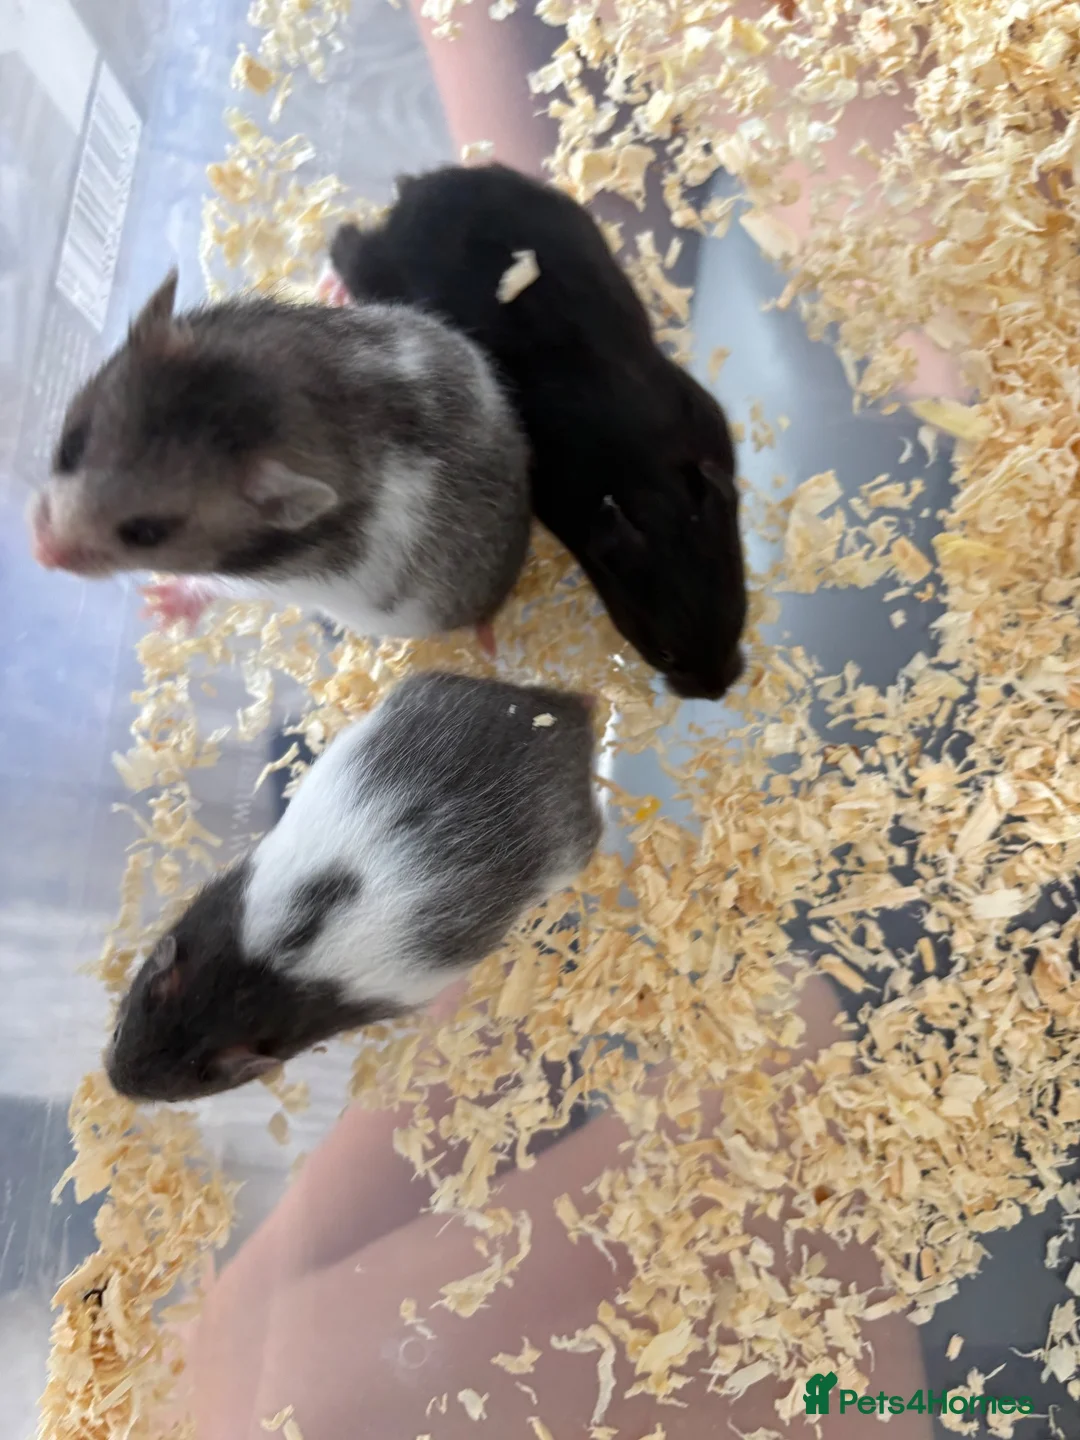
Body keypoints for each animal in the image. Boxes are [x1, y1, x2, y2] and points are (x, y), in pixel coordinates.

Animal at [27, 271, 531, 645]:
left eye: (146, 533)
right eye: (70, 446)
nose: (40, 555)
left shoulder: (257, 579)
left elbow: (206, 584)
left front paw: (161, 606)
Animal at [106, 671, 602, 1102]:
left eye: (173, 1094)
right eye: (117, 1030)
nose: (114, 1083)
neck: (249, 981)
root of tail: (572, 721)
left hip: (570, 853)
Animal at [329, 163, 747, 701]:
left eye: (738, 620)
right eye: (664, 652)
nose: (717, 692)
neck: (651, 485)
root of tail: (414, 190)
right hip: (379, 272)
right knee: (344, 244)